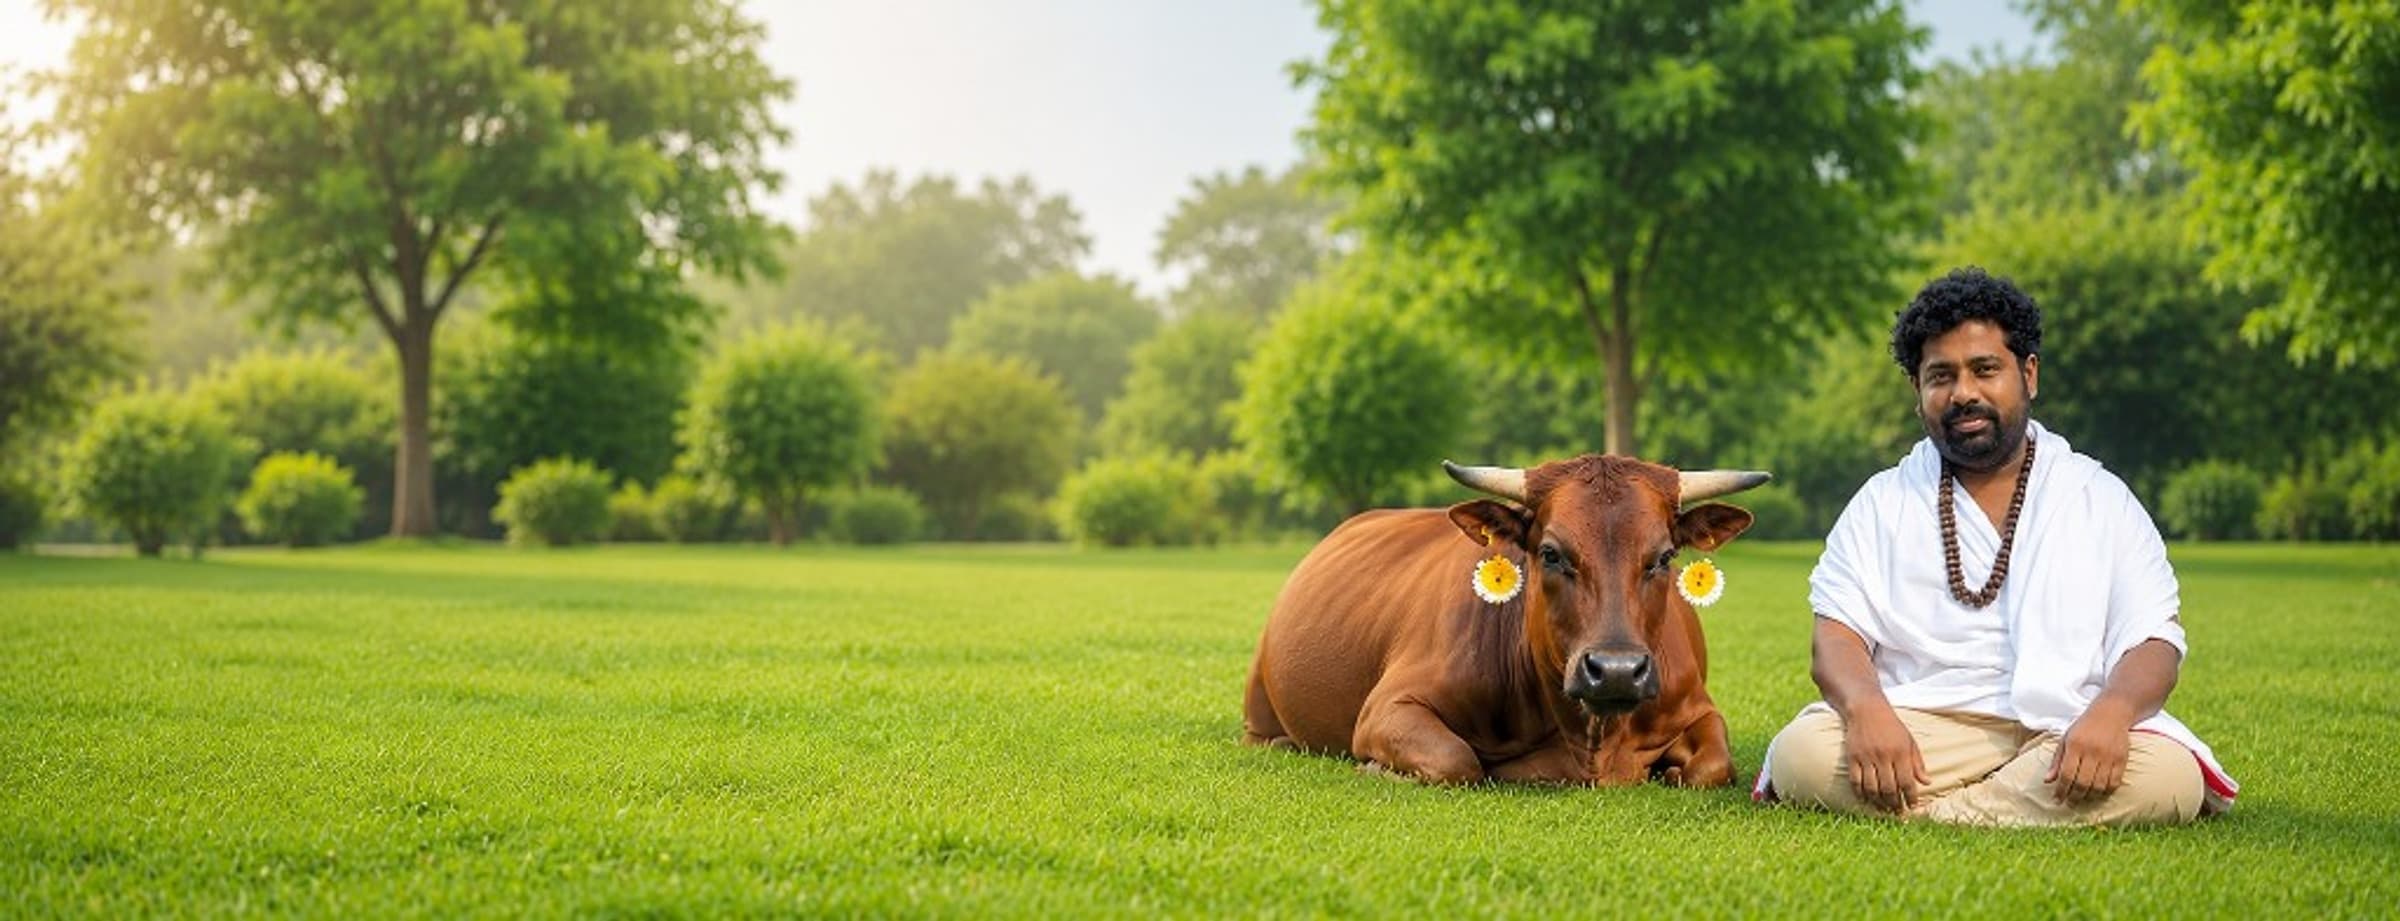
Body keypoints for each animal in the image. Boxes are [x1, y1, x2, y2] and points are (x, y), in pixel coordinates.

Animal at [1241, 455, 1768, 786]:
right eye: (1551, 553)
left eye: (1663, 557)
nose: (1616, 671)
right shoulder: (1388, 707)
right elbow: (1456, 760)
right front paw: (1375, 768)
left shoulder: (1698, 708)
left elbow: (1713, 767)